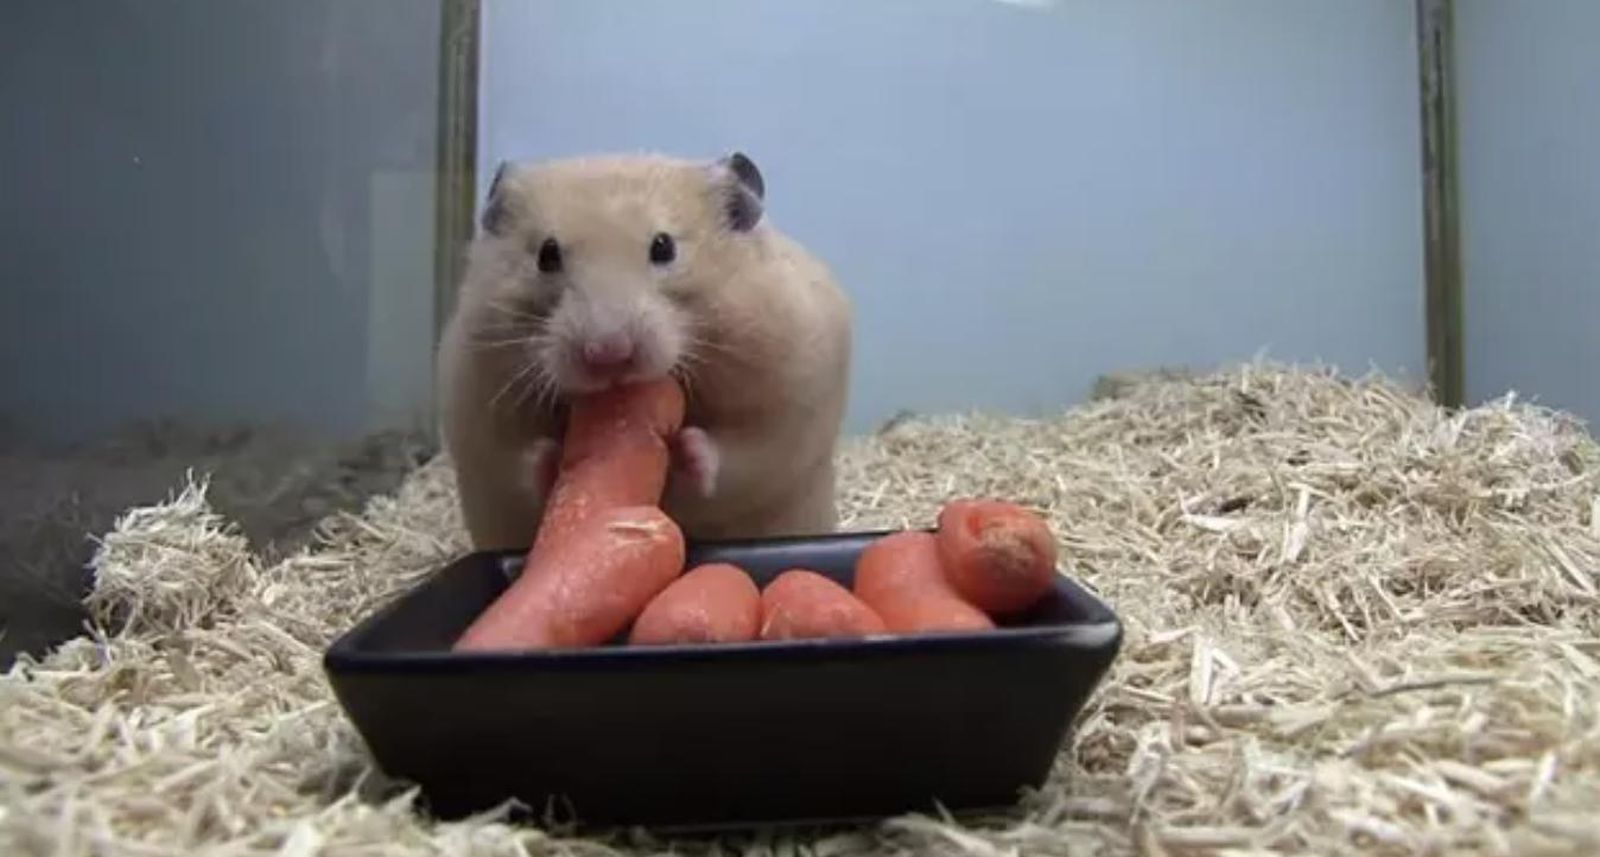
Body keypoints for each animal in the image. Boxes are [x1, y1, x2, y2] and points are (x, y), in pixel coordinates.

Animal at [437, 151, 853, 549]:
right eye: (547, 255)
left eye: (664, 247)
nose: (608, 354)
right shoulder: (478, 413)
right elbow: (519, 462)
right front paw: (553, 455)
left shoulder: (787, 407)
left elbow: (736, 457)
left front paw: (687, 447)